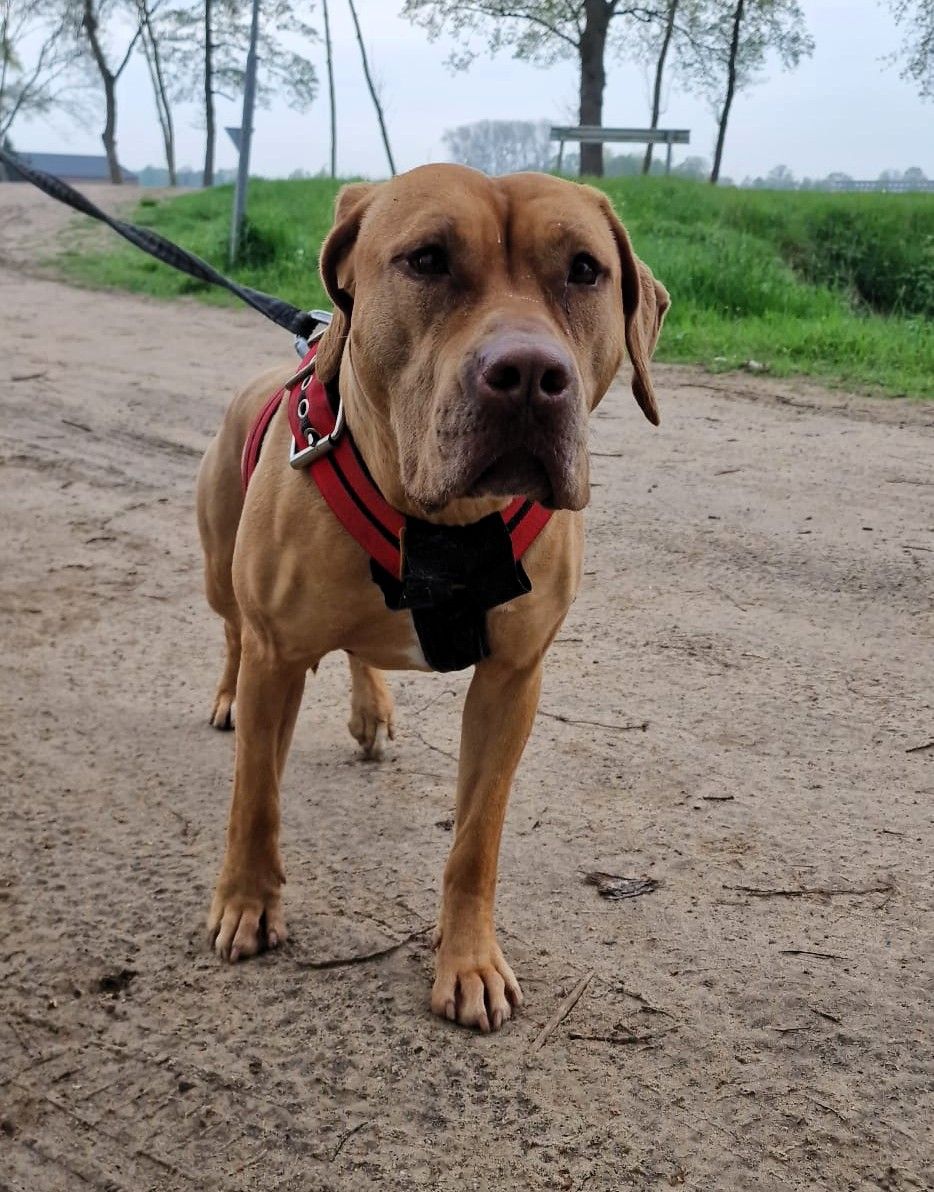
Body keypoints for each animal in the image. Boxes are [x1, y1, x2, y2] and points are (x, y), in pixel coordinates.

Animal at [196, 164, 669, 1033]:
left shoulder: (513, 678)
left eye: (585, 270)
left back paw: (371, 708)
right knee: (234, 635)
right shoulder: (279, 653)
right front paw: (245, 903)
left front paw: (469, 962)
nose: (530, 376)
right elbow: (256, 798)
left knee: (358, 648)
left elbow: (476, 841)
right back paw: (230, 697)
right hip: (221, 572)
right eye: (425, 260)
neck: (443, 526)